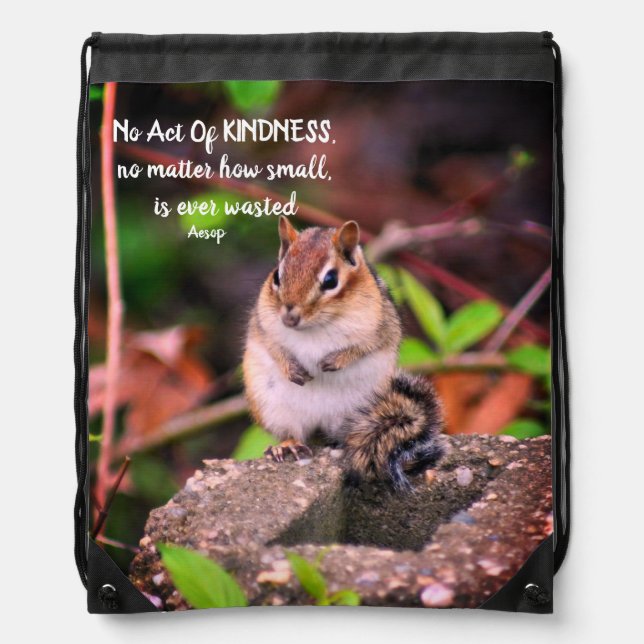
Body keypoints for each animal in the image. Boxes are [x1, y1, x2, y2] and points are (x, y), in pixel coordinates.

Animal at [243, 216, 444, 491]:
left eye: (330, 280)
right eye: (276, 276)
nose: (289, 317)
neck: (315, 327)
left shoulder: (381, 327)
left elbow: (366, 345)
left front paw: (335, 361)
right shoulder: (263, 325)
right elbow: (274, 347)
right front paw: (291, 368)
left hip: (362, 409)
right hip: (273, 407)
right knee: (292, 432)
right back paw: (288, 446)